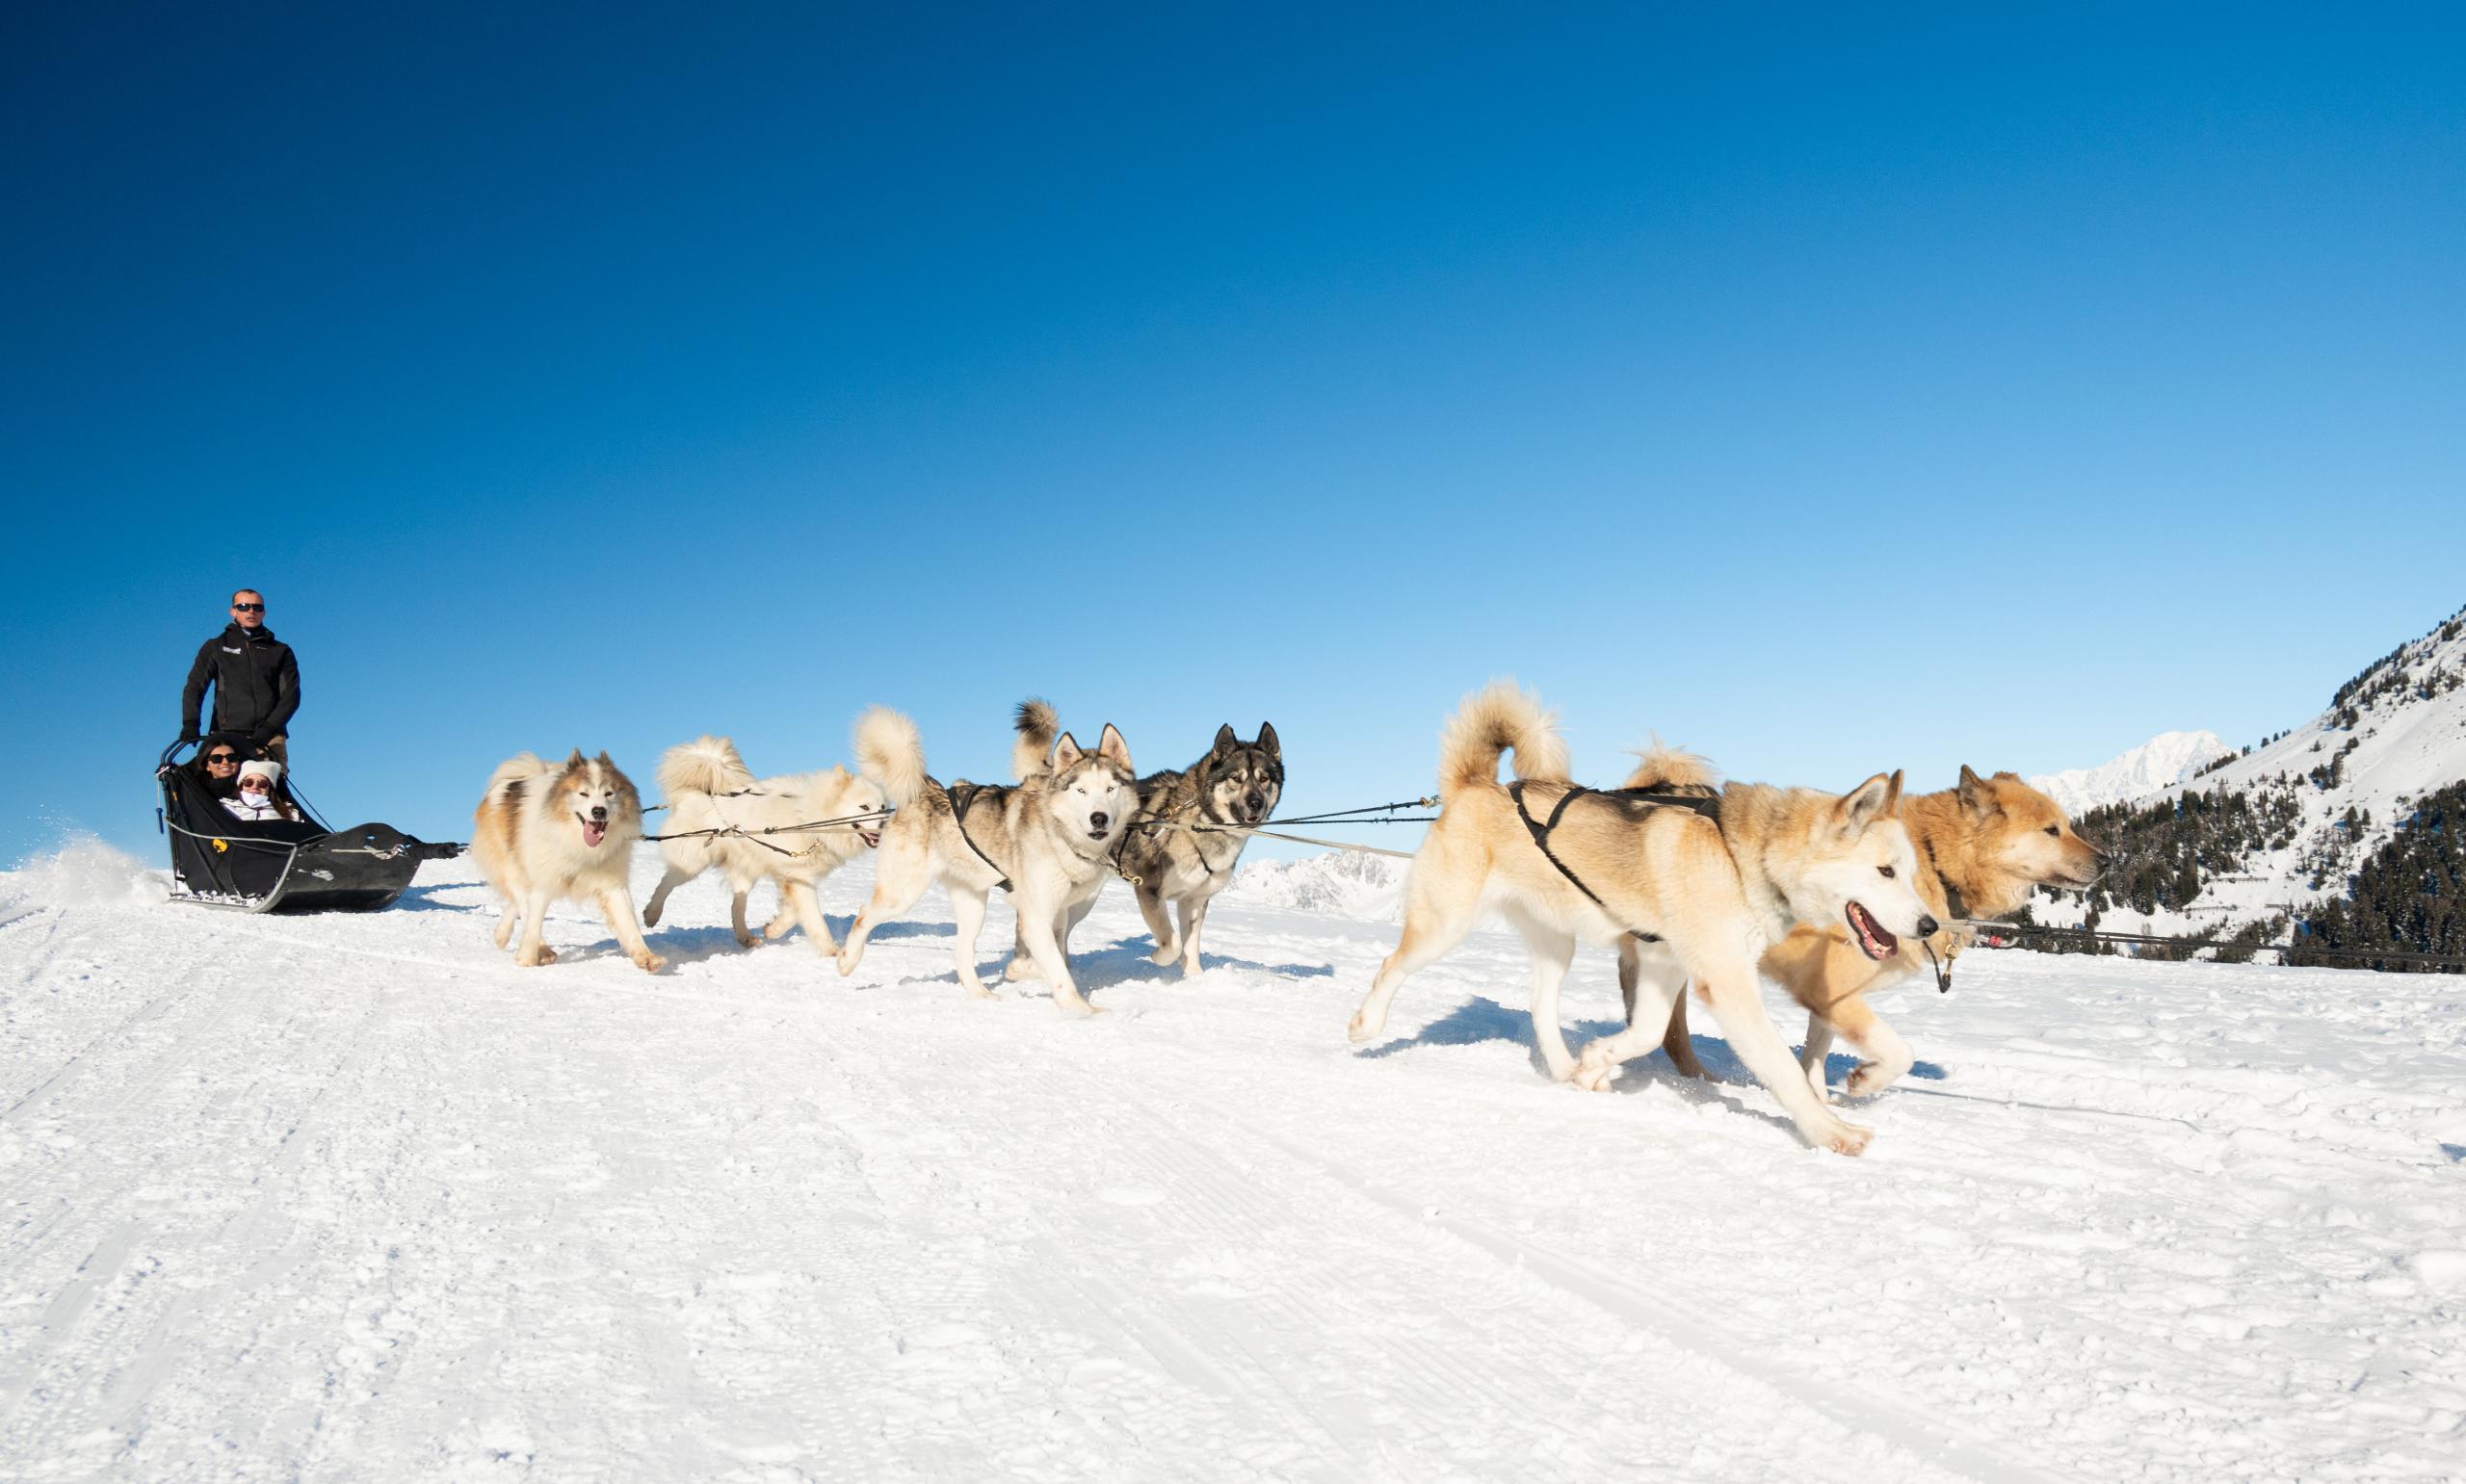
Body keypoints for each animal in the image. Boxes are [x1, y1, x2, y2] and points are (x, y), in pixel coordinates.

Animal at [468, 749, 666, 971]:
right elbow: (533, 922)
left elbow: (629, 923)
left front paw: (647, 957)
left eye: (609, 793)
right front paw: (527, 959)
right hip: (513, 870)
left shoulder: (612, 885)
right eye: (583, 794)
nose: (599, 811)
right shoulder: (544, 882)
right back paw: (542, 950)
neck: (581, 846)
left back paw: (502, 935)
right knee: (523, 906)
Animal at [641, 710, 927, 961]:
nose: (883, 826)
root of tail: (698, 792)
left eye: (882, 807)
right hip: (694, 859)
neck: (811, 818)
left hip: (746, 870)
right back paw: (651, 914)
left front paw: (772, 929)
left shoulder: (796, 877)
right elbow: (814, 919)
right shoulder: (798, 878)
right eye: (864, 807)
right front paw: (830, 952)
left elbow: (791, 915)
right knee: (666, 883)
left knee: (737, 904)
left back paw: (745, 937)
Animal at [828, 710, 1134, 1010]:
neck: (1059, 834)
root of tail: (923, 788)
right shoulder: (1036, 915)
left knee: (962, 955)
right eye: (1081, 790)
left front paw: (1022, 969)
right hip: (903, 893)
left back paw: (981, 994)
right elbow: (1056, 968)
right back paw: (846, 960)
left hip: (972, 905)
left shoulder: (1054, 913)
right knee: (863, 915)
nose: (1099, 818)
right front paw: (1083, 1010)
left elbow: (1053, 957)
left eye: (1111, 789)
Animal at [1351, 680, 1943, 1153]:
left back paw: (1567, 1070)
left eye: (1912, 874)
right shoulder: (1725, 981)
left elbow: (1650, 1030)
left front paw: (1598, 1059)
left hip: (1556, 943)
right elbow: (1782, 1068)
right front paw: (1830, 1132)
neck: (1740, 856)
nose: (1929, 926)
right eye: (1886, 871)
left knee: (1541, 1007)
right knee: (1389, 967)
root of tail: (1475, 784)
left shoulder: (1666, 963)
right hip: (1445, 924)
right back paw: (1366, 1024)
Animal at [1627, 764, 2111, 1099]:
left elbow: (1814, 1059)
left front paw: (1823, 1100)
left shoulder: (1829, 998)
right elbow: (1898, 1052)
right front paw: (1864, 1083)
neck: (1935, 863)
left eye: (2067, 825)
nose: (2107, 860)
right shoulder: (1829, 988)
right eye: (2052, 830)